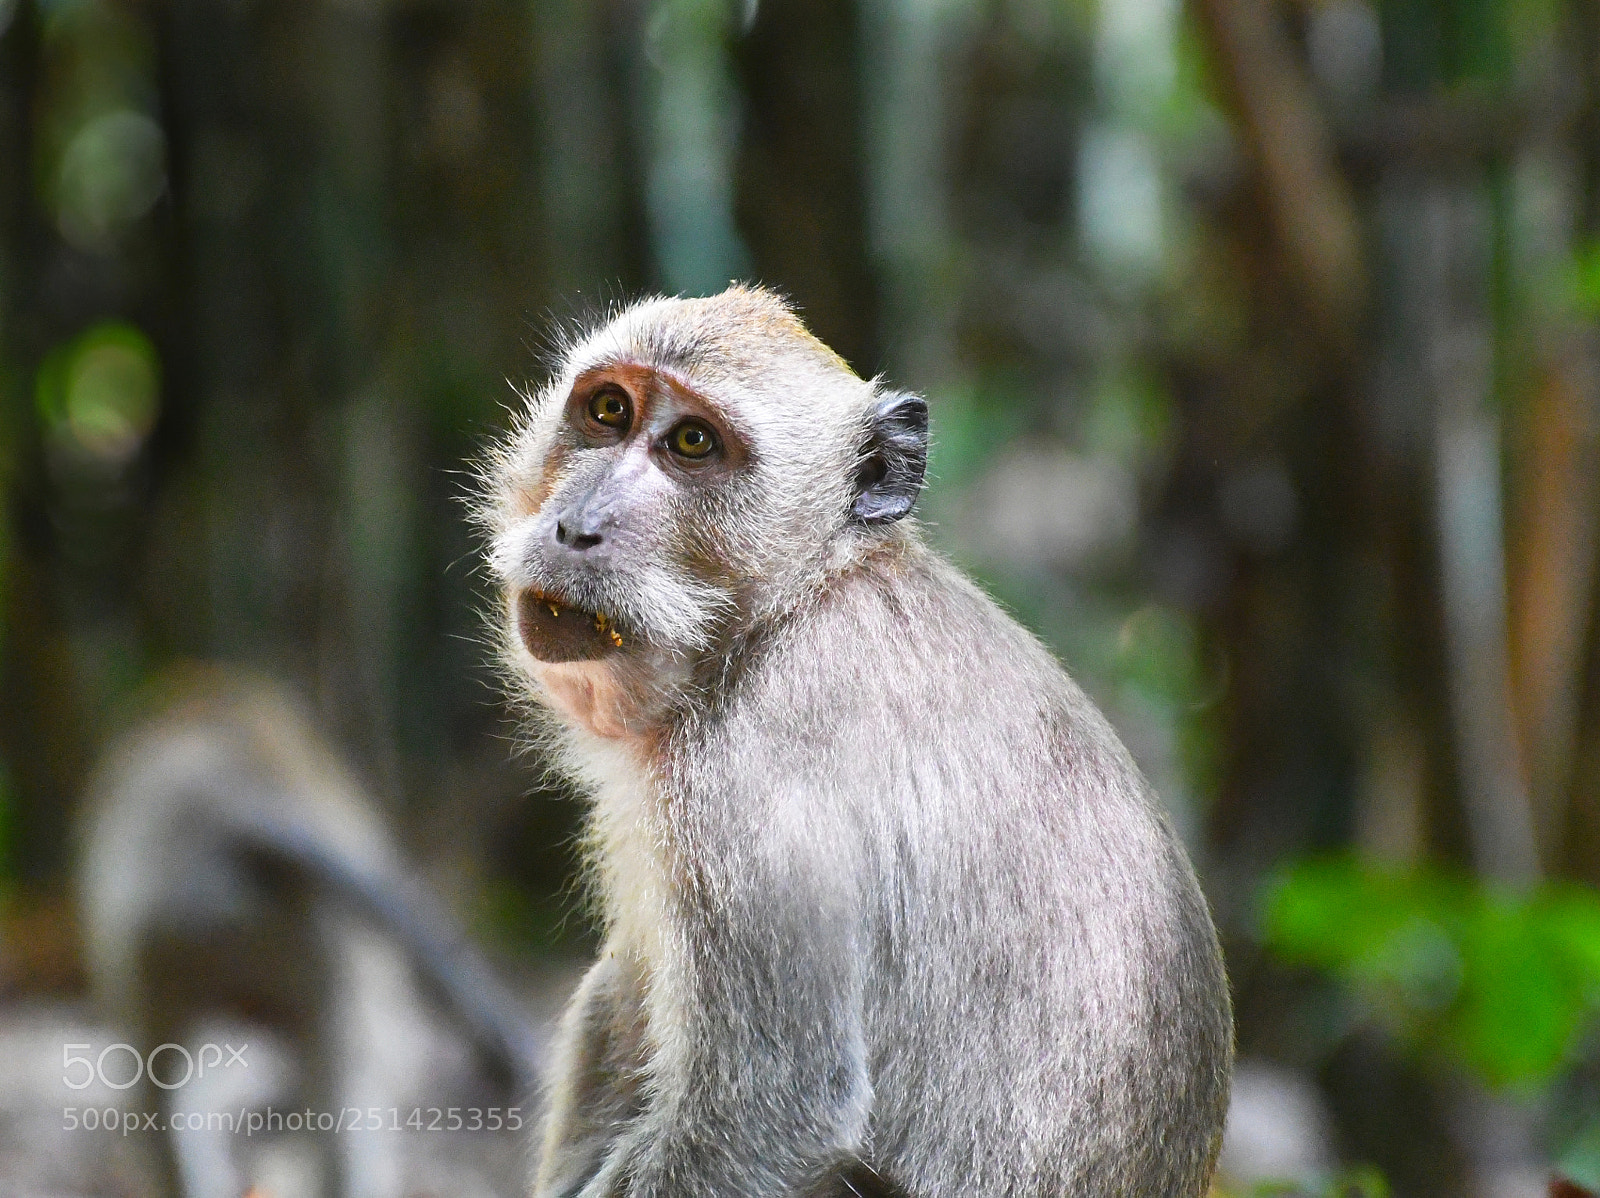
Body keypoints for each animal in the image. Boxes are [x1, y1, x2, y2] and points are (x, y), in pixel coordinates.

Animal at [481, 285, 1233, 1197]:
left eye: (693, 444)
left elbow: (771, 1109)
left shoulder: (751, 778)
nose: (580, 526)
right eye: (608, 411)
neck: (797, 601)